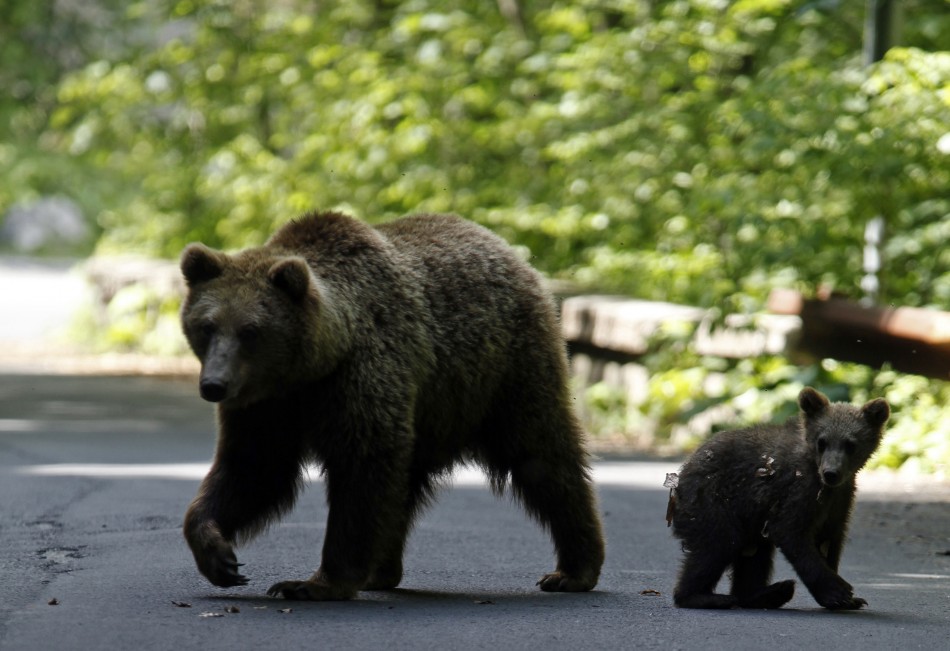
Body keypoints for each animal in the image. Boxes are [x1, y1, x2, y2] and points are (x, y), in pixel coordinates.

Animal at [179, 210, 606, 600]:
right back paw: (381, 570)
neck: (314, 366)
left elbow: (362, 470)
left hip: (505, 372)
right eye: (206, 325)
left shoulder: (360, 377)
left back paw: (573, 570)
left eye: (250, 330)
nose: (214, 385)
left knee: (542, 457)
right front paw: (219, 556)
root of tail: (506, 249)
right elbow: (254, 468)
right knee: (404, 487)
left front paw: (313, 583)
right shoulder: (266, 406)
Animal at [669, 387, 889, 610]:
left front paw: (850, 599)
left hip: (750, 518)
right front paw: (838, 592)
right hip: (712, 500)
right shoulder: (797, 489)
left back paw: (768, 593)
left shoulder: (840, 499)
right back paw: (703, 596)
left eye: (850, 444)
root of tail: (683, 471)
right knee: (718, 543)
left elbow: (830, 539)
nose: (831, 473)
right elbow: (791, 532)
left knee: (754, 553)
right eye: (822, 441)